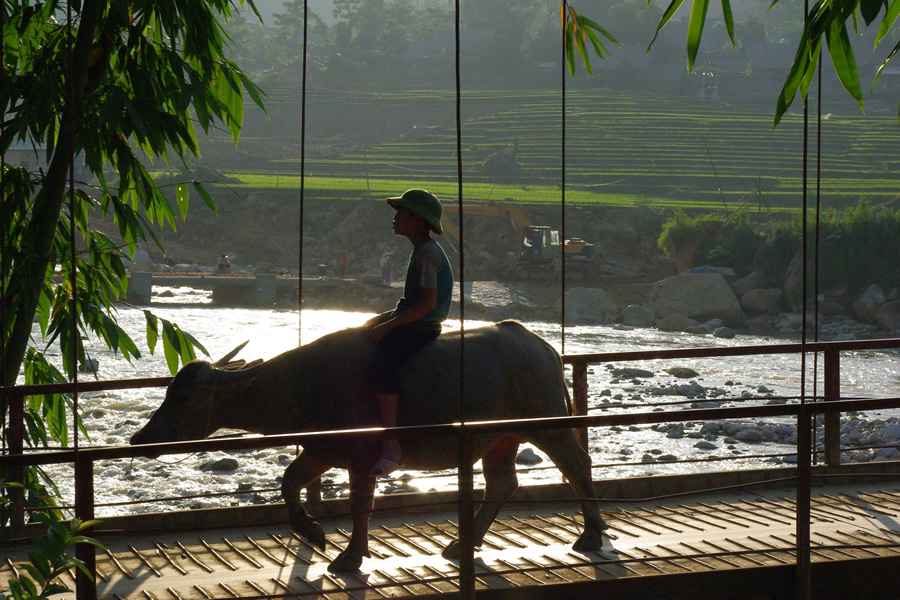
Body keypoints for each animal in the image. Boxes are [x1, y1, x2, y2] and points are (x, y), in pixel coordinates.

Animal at [130, 322, 608, 576]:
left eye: (183, 397)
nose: (139, 440)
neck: (303, 384)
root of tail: (540, 345)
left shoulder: (361, 457)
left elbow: (361, 503)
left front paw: (349, 556)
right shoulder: (320, 451)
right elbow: (289, 483)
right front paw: (313, 532)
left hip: (549, 426)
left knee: (576, 465)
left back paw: (590, 534)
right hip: (500, 438)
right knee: (502, 482)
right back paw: (462, 544)